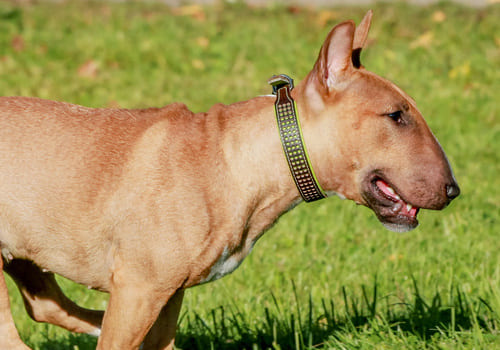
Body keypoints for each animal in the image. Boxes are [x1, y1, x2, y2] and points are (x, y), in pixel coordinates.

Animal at [0, 10, 458, 350]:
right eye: (395, 116)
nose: (454, 191)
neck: (234, 160)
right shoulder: (138, 289)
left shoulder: (167, 295)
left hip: (26, 257)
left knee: (46, 306)